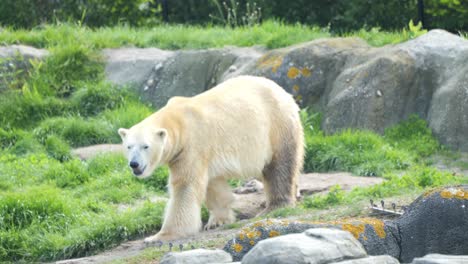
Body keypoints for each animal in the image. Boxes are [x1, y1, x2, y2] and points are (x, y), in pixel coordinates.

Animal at [118, 75, 304, 242]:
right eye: (129, 146)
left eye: (145, 146)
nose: (134, 164)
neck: (178, 120)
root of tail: (283, 92)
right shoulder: (203, 153)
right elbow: (213, 184)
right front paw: (218, 220)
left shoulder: (192, 146)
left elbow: (185, 186)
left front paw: (159, 236)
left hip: (276, 126)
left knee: (279, 166)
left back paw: (275, 206)